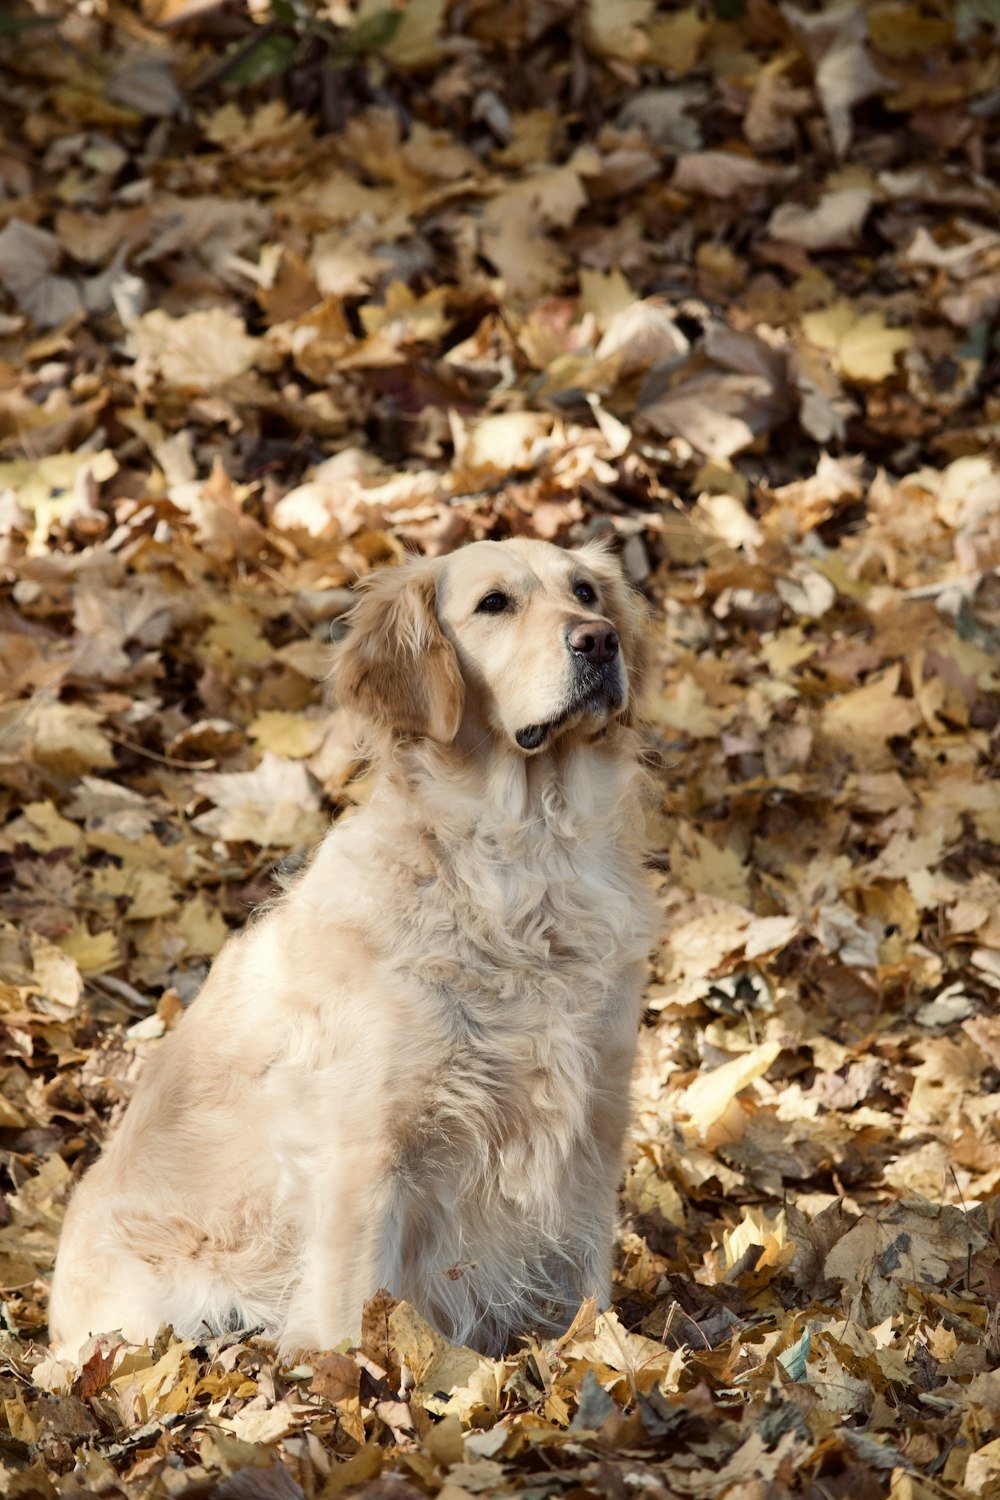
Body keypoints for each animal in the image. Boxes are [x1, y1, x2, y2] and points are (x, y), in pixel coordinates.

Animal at [48, 537, 656, 1362]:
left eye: (587, 591)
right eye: (494, 604)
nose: (598, 640)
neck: (527, 863)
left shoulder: (595, 1120)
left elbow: (587, 1282)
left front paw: (602, 1357)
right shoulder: (364, 1153)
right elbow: (353, 1317)